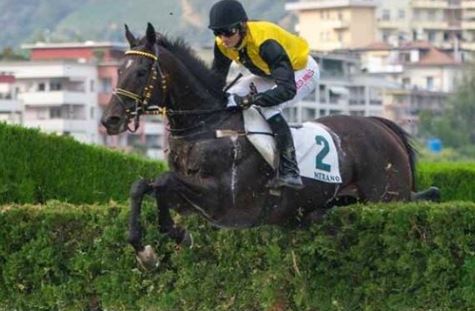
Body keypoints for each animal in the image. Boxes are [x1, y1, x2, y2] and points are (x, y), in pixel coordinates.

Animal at [102, 23, 440, 268]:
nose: (110, 119)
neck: (205, 126)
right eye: (118, 70)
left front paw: (174, 236)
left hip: (388, 199)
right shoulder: (191, 200)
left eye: (141, 72)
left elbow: (161, 180)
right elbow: (143, 186)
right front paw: (147, 249)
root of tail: (380, 126)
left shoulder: (224, 200)